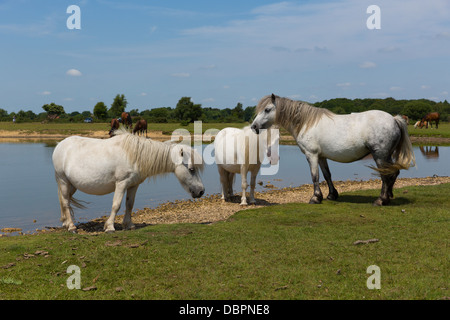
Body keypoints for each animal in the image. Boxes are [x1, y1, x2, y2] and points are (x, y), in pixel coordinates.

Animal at [51, 127, 205, 232]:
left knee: (65, 201)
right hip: (63, 180)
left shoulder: (133, 185)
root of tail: (59, 145)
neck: (136, 156)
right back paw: (71, 227)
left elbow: (129, 204)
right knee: (65, 202)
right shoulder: (121, 183)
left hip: (72, 185)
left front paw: (129, 225)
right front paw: (110, 227)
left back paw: (66, 223)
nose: (201, 191)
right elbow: (116, 204)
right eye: (191, 169)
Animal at [250, 94, 414, 206]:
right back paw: (389, 196)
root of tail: (394, 119)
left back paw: (381, 200)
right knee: (393, 173)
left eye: (267, 109)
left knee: (385, 175)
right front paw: (331, 195)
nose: (254, 126)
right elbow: (327, 175)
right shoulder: (322, 156)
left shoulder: (311, 155)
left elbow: (314, 176)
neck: (306, 123)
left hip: (380, 155)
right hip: (386, 155)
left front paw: (315, 197)